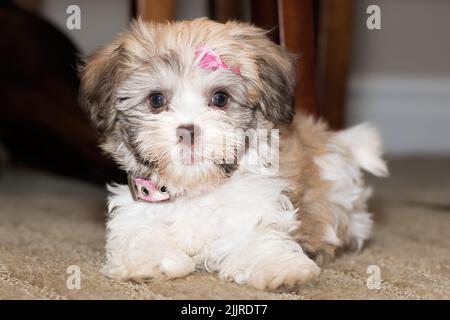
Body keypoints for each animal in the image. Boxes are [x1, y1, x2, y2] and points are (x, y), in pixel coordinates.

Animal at [77, 18, 386, 292]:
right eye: (156, 100)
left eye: (220, 98)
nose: (187, 130)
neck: (196, 190)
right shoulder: (138, 205)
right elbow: (141, 238)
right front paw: (151, 260)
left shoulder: (256, 208)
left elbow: (258, 240)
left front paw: (282, 268)